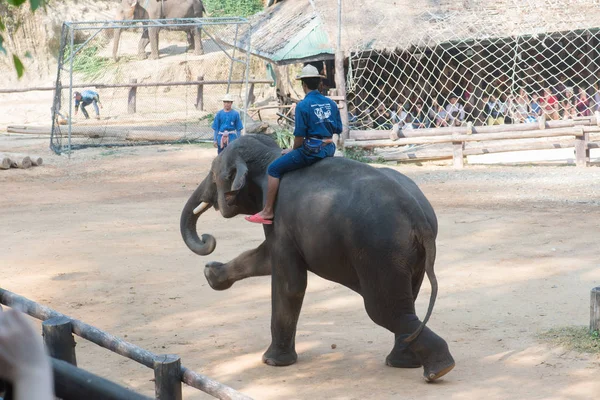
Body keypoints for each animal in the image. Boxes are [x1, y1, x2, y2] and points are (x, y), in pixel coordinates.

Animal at [180, 134, 458, 382]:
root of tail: (417, 215)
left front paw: (272, 362)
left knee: (384, 310)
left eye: (213, 174)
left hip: (381, 250)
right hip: (408, 255)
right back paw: (407, 363)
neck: (272, 156)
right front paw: (211, 273)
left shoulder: (279, 217)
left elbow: (289, 283)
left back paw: (437, 369)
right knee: (406, 302)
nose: (207, 239)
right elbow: (265, 258)